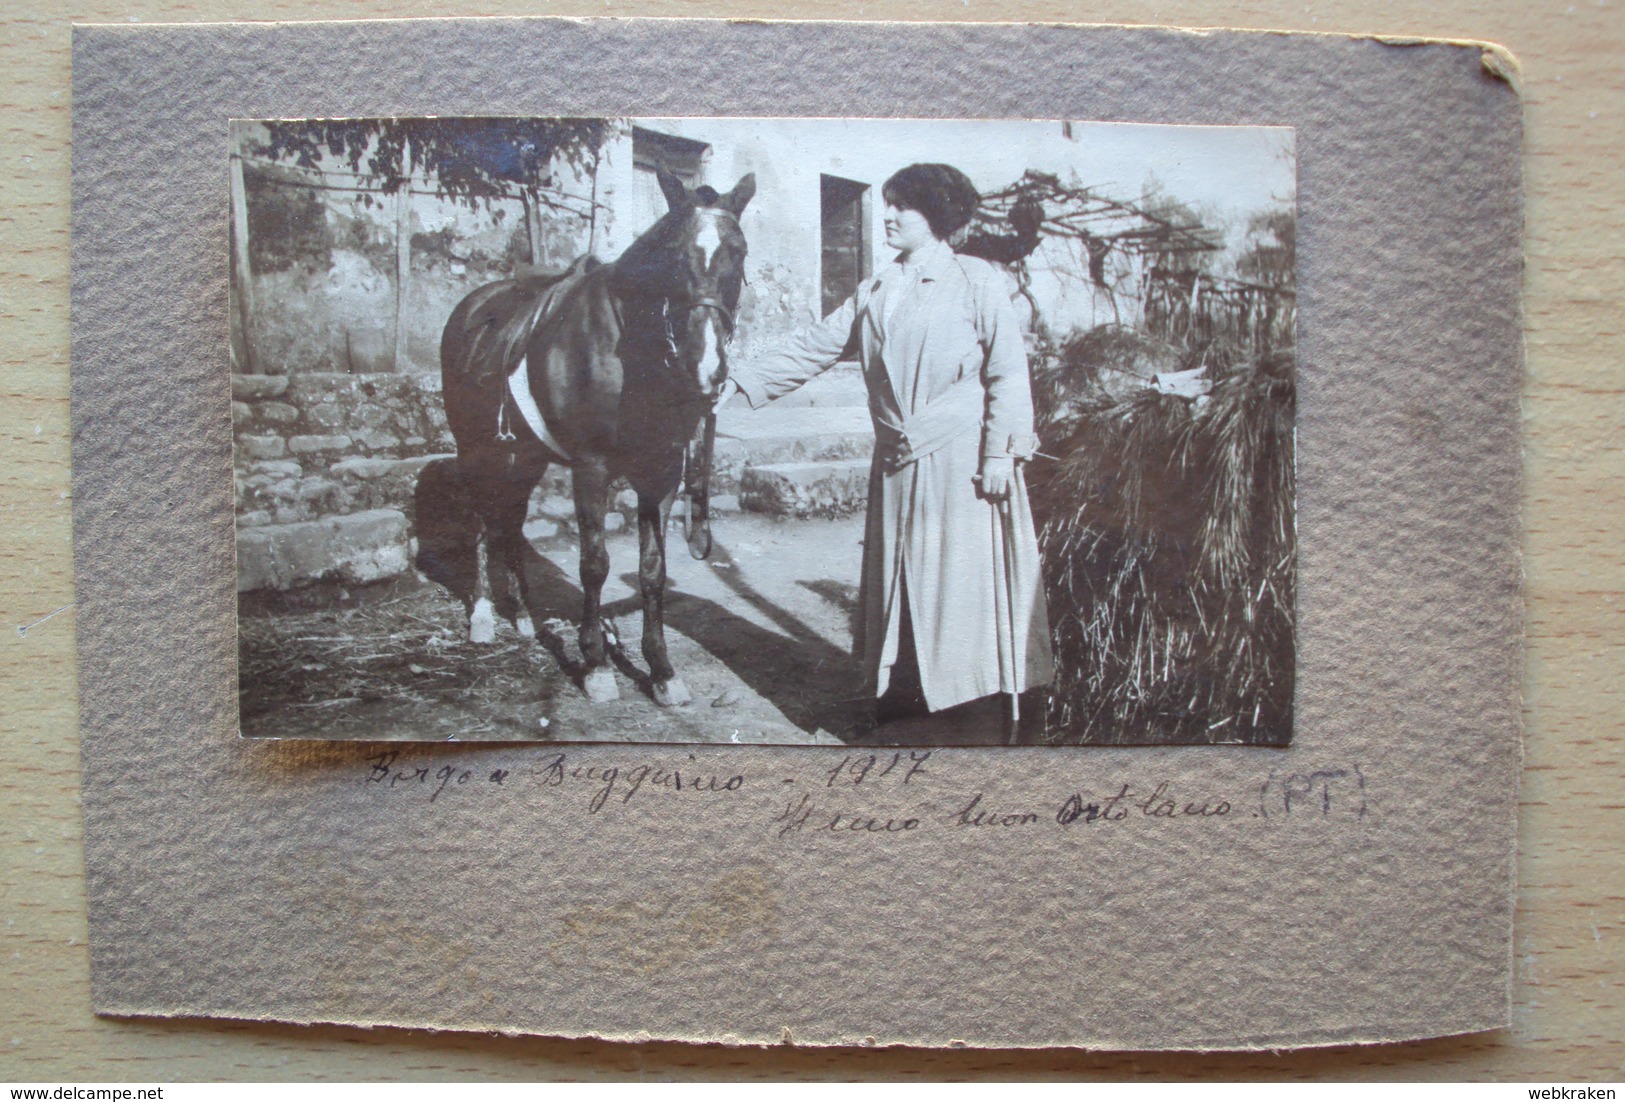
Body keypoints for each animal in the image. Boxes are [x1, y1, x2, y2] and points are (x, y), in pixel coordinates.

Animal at [425, 170, 754, 708]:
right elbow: (594, 564)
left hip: (523, 457)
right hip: (474, 448)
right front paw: (596, 663)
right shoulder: (591, 467)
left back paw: (522, 615)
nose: (705, 367)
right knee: (478, 521)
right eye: (673, 254)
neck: (632, 353)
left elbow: (652, 569)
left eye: (739, 251)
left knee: (509, 522)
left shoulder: (662, 471)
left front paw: (662, 671)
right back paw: (482, 616)